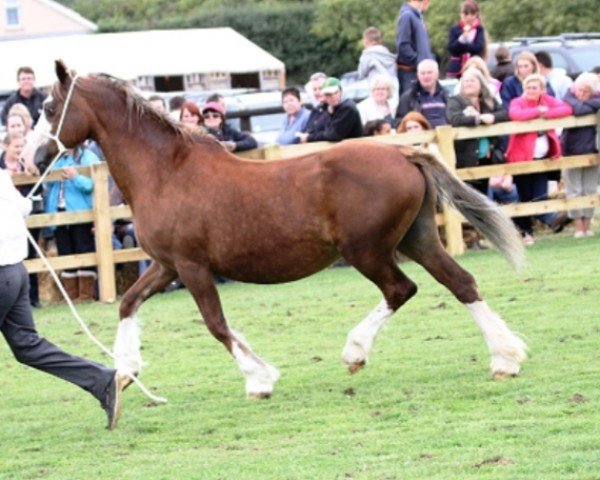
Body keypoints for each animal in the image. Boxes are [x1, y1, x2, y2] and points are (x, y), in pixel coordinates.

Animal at [31, 62, 524, 400]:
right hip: (416, 240)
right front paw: (126, 370)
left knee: (400, 290)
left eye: (50, 107)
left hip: (368, 251)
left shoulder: (191, 267)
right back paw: (506, 358)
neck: (166, 171)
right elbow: (128, 303)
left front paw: (260, 379)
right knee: (461, 283)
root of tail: (404, 153)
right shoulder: (167, 265)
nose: (33, 159)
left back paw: (355, 352)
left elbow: (216, 325)